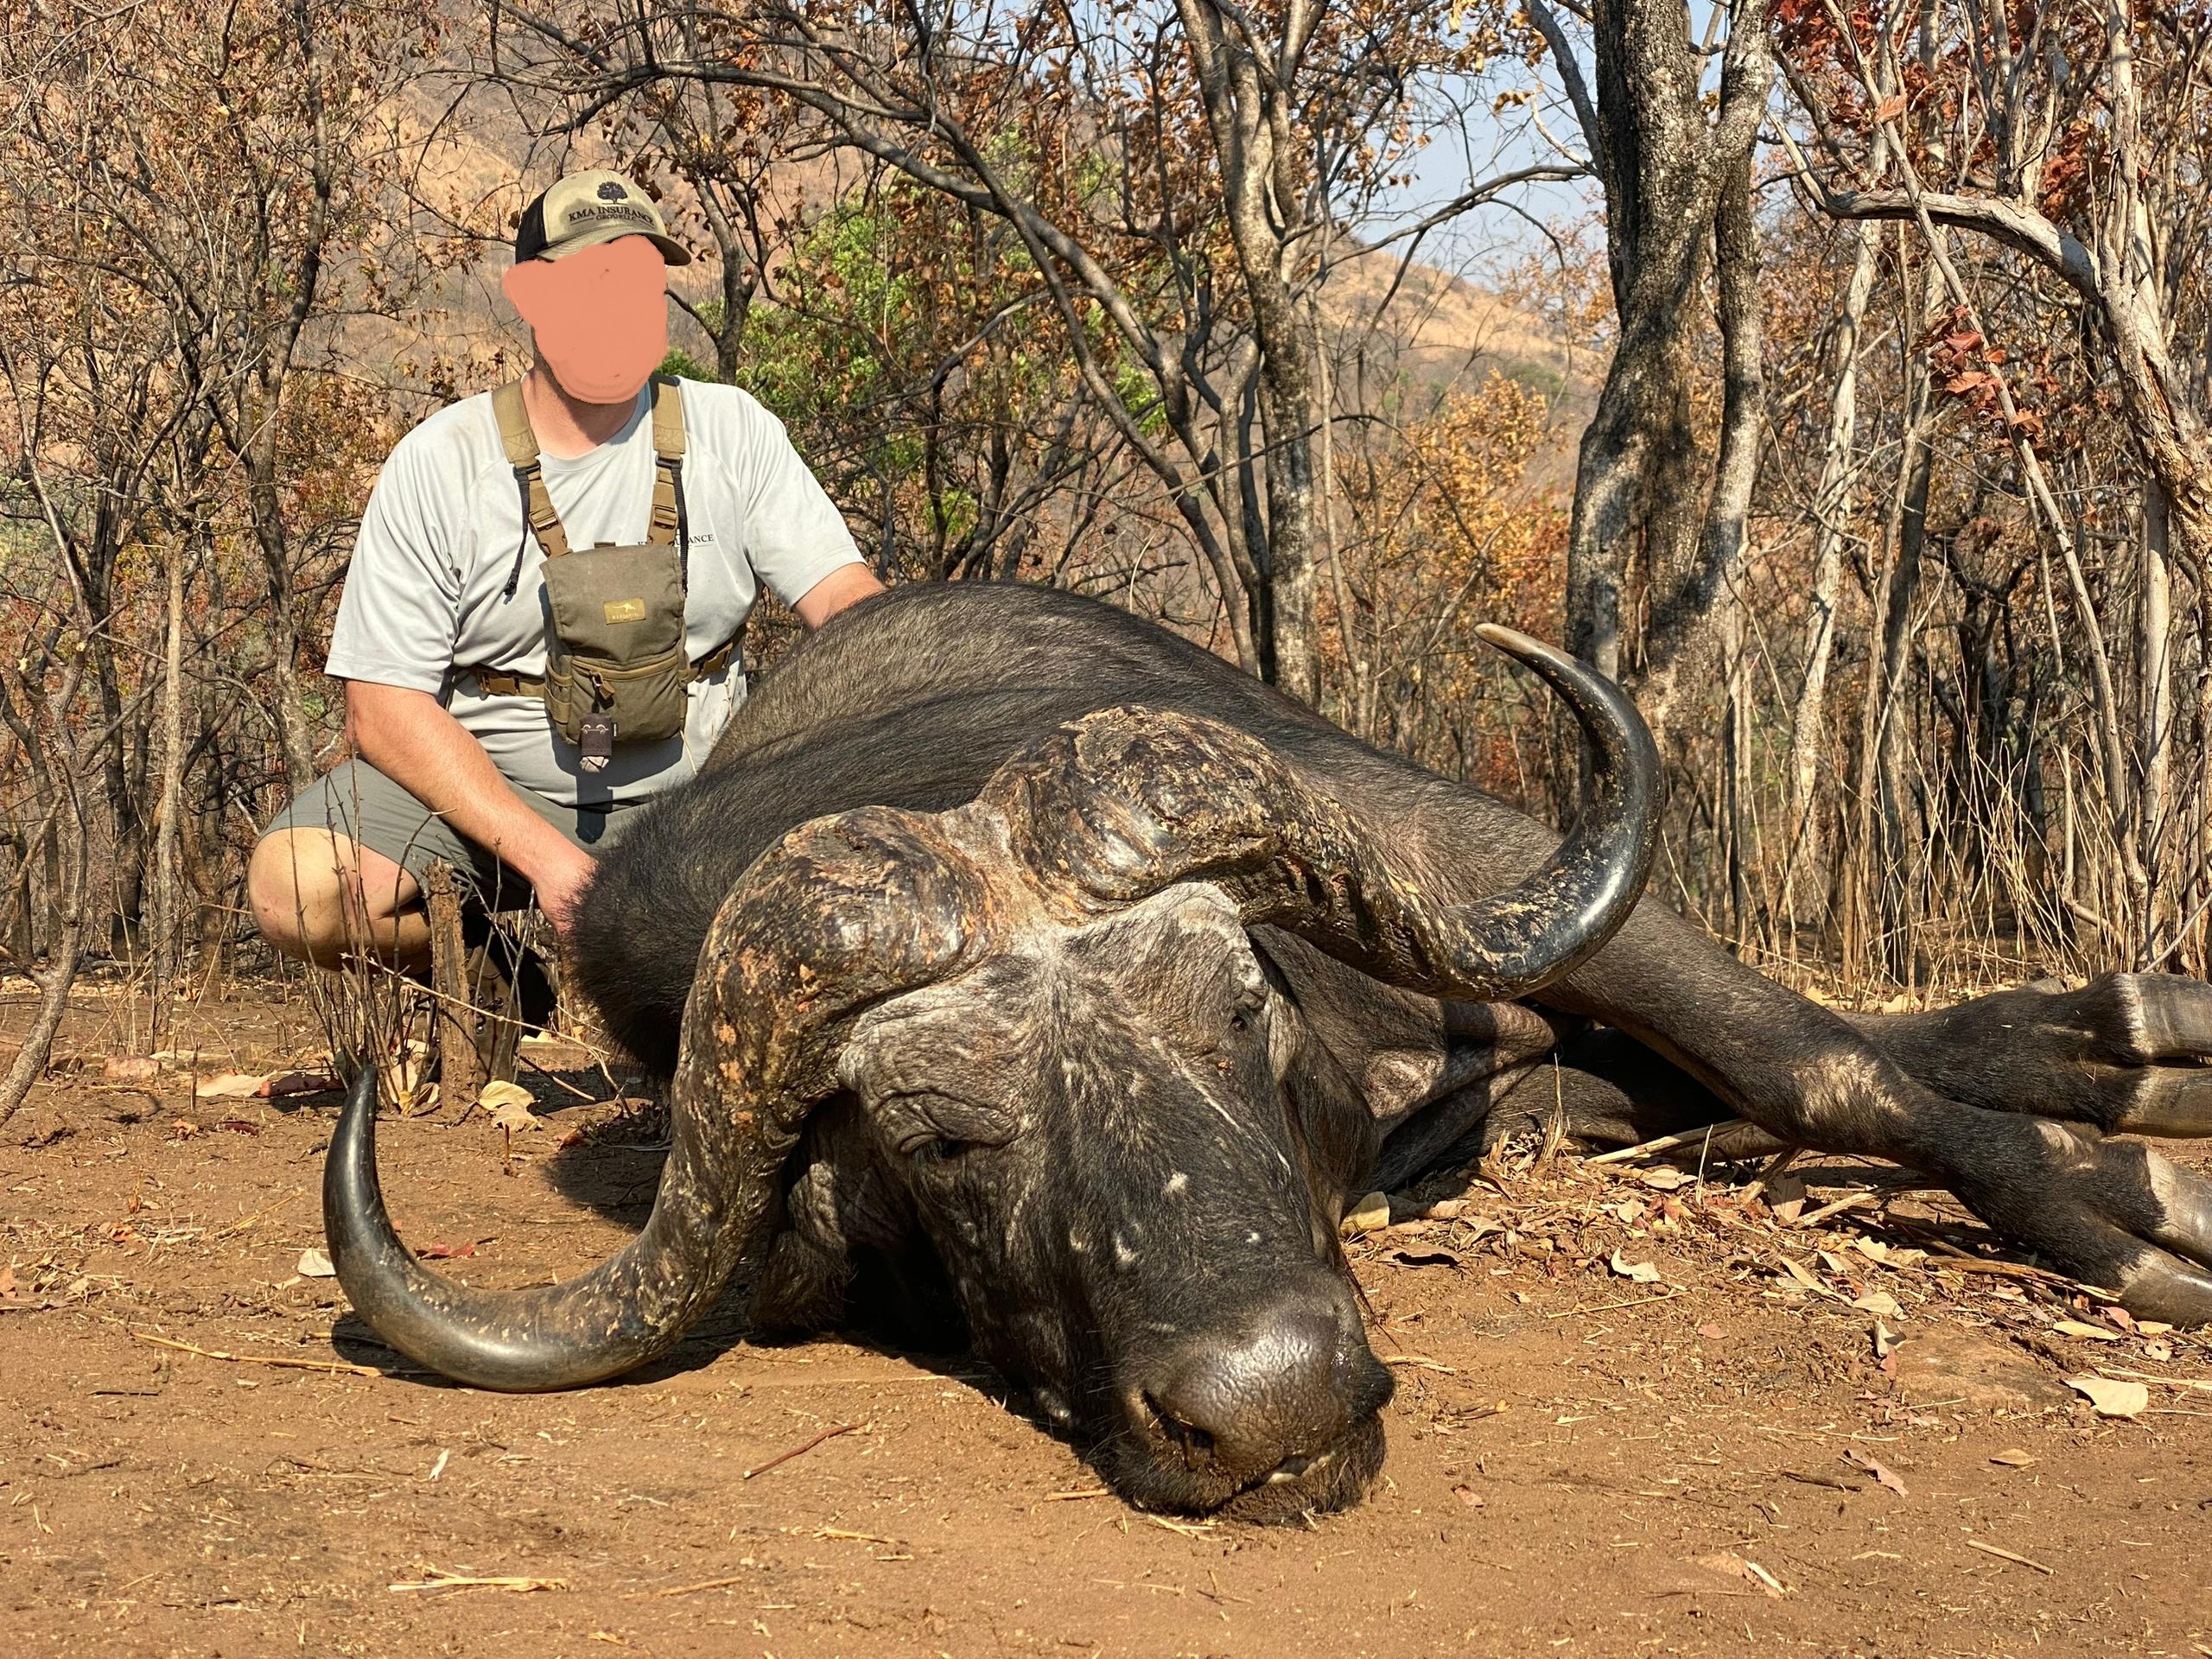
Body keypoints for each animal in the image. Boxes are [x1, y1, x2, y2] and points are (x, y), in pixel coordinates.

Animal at [327, 582, 2212, 1521]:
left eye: (1236, 1010)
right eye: (940, 1143)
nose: (1274, 1399)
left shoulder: (1466, 860)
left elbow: (1822, 1069)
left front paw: (2142, 1228)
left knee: (1817, 1053)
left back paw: (2144, 1052)